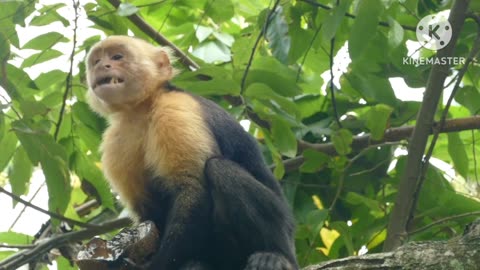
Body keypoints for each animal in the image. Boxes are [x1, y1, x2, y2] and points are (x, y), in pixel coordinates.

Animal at [84, 35, 298, 270]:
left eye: (117, 57)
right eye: (96, 61)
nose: (102, 66)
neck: (141, 108)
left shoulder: (176, 110)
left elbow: (192, 188)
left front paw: (155, 265)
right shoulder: (116, 139)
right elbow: (148, 212)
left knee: (219, 168)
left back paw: (275, 255)